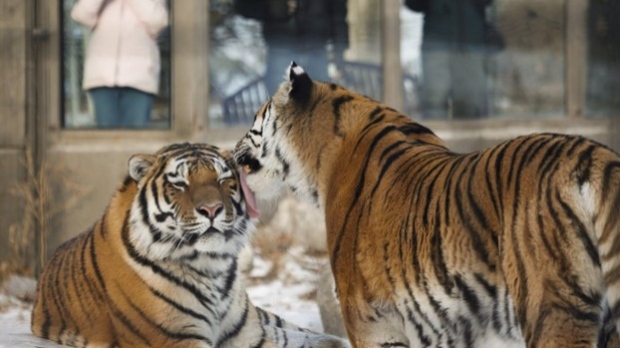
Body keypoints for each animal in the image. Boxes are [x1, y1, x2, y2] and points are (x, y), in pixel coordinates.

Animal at [30, 142, 348, 348]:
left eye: (223, 179)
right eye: (180, 184)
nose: (211, 209)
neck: (212, 266)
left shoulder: (251, 335)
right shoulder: (175, 338)